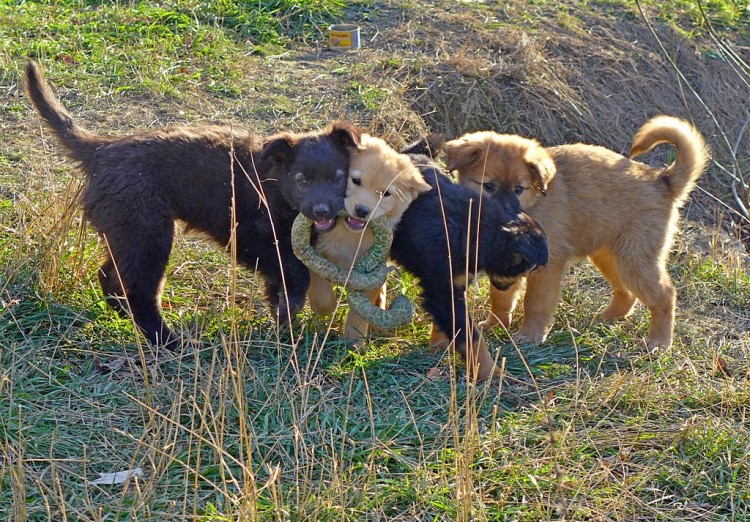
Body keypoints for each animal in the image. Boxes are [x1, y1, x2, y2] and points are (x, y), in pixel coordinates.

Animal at [23, 60, 362, 346]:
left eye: (339, 178)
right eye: (302, 180)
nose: (322, 210)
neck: (274, 183)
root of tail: (102, 150)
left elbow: (285, 282)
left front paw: (284, 322)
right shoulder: (249, 236)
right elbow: (293, 271)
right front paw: (287, 317)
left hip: (128, 234)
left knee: (111, 279)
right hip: (148, 232)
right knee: (136, 290)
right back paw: (170, 341)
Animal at [308, 132, 432, 340]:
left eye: (386, 194)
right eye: (356, 181)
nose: (362, 210)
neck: (350, 236)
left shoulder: (371, 271)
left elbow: (360, 313)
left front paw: (354, 341)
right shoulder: (314, 250)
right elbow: (321, 295)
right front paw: (328, 309)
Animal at [390, 142, 548, 378]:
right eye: (523, 270)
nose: (504, 288)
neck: (472, 227)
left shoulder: (456, 283)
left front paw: (438, 347)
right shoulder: (443, 289)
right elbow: (470, 335)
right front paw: (490, 372)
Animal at [446, 116, 712, 348]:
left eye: (519, 189)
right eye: (488, 186)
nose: (506, 217)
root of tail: (662, 180)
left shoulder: (547, 266)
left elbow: (535, 303)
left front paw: (530, 336)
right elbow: (501, 299)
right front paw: (494, 325)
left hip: (635, 259)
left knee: (664, 295)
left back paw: (659, 341)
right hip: (610, 256)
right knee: (626, 293)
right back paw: (605, 319)